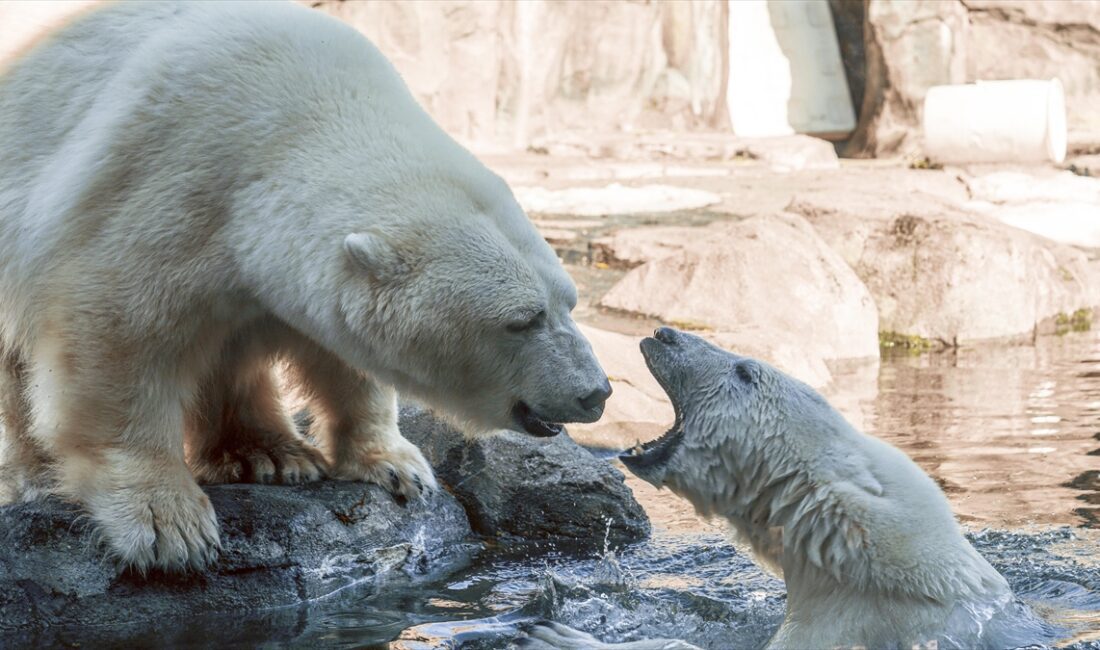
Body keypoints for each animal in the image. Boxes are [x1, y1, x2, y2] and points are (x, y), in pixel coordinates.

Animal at [0, 0, 611, 571]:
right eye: (522, 319)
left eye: (569, 302)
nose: (596, 392)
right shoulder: (160, 180)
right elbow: (118, 333)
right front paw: (166, 524)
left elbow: (340, 351)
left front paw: (399, 467)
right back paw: (35, 475)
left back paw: (271, 455)